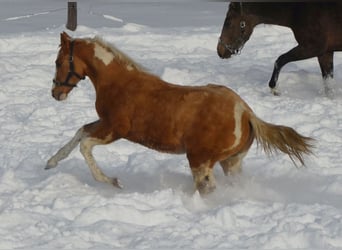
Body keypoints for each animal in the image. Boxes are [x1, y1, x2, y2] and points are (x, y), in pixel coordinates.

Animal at [46, 32, 314, 194]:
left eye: (59, 62)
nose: (55, 93)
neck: (119, 82)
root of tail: (246, 112)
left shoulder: (115, 129)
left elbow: (85, 145)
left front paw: (112, 181)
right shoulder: (104, 123)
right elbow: (80, 132)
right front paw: (51, 162)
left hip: (200, 160)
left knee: (208, 188)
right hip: (231, 162)